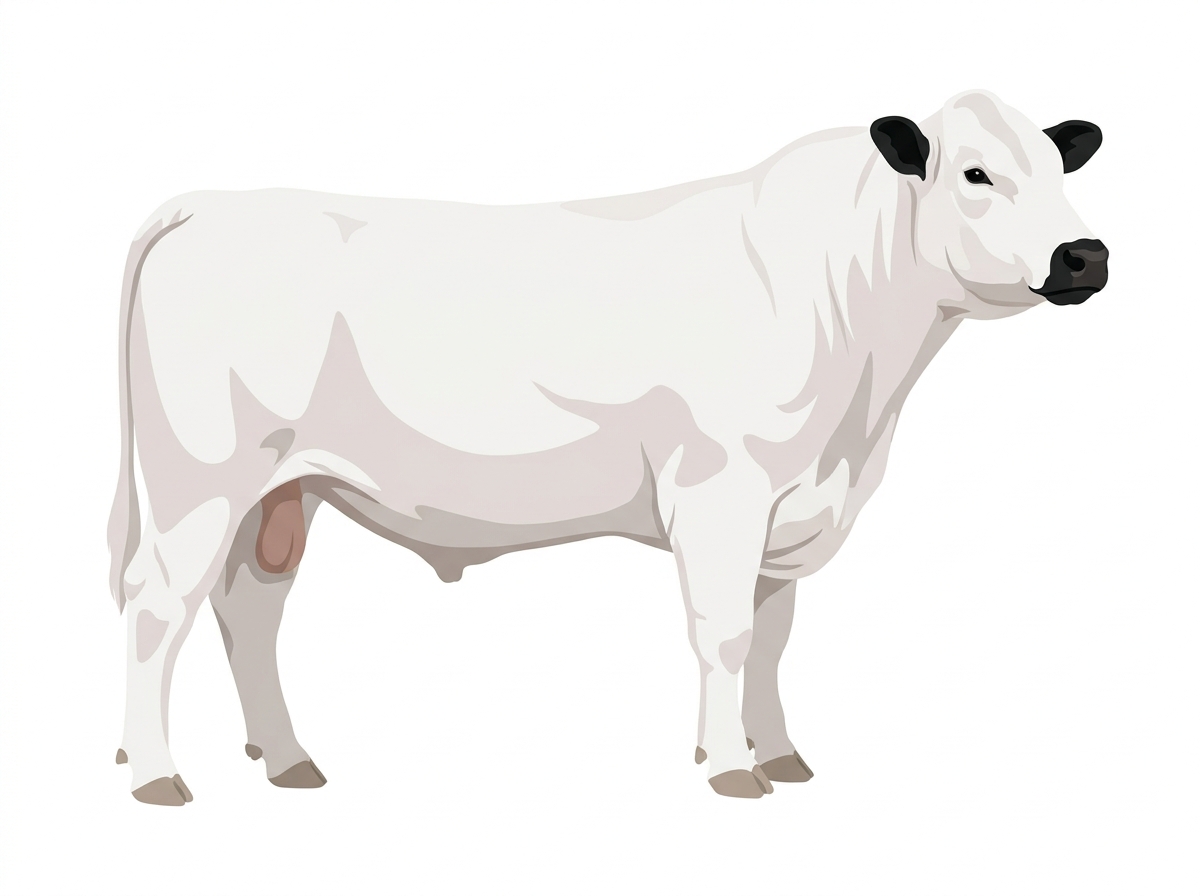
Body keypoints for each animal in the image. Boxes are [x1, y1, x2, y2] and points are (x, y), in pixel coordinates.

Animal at [109, 90, 1107, 804]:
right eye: (975, 174)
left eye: (1063, 169)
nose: (1084, 254)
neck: (861, 413)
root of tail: (206, 204)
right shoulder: (721, 489)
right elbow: (725, 633)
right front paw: (729, 769)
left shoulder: (789, 507)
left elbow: (773, 638)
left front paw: (777, 753)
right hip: (200, 477)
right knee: (157, 607)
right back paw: (158, 776)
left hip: (283, 489)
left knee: (248, 609)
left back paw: (285, 760)